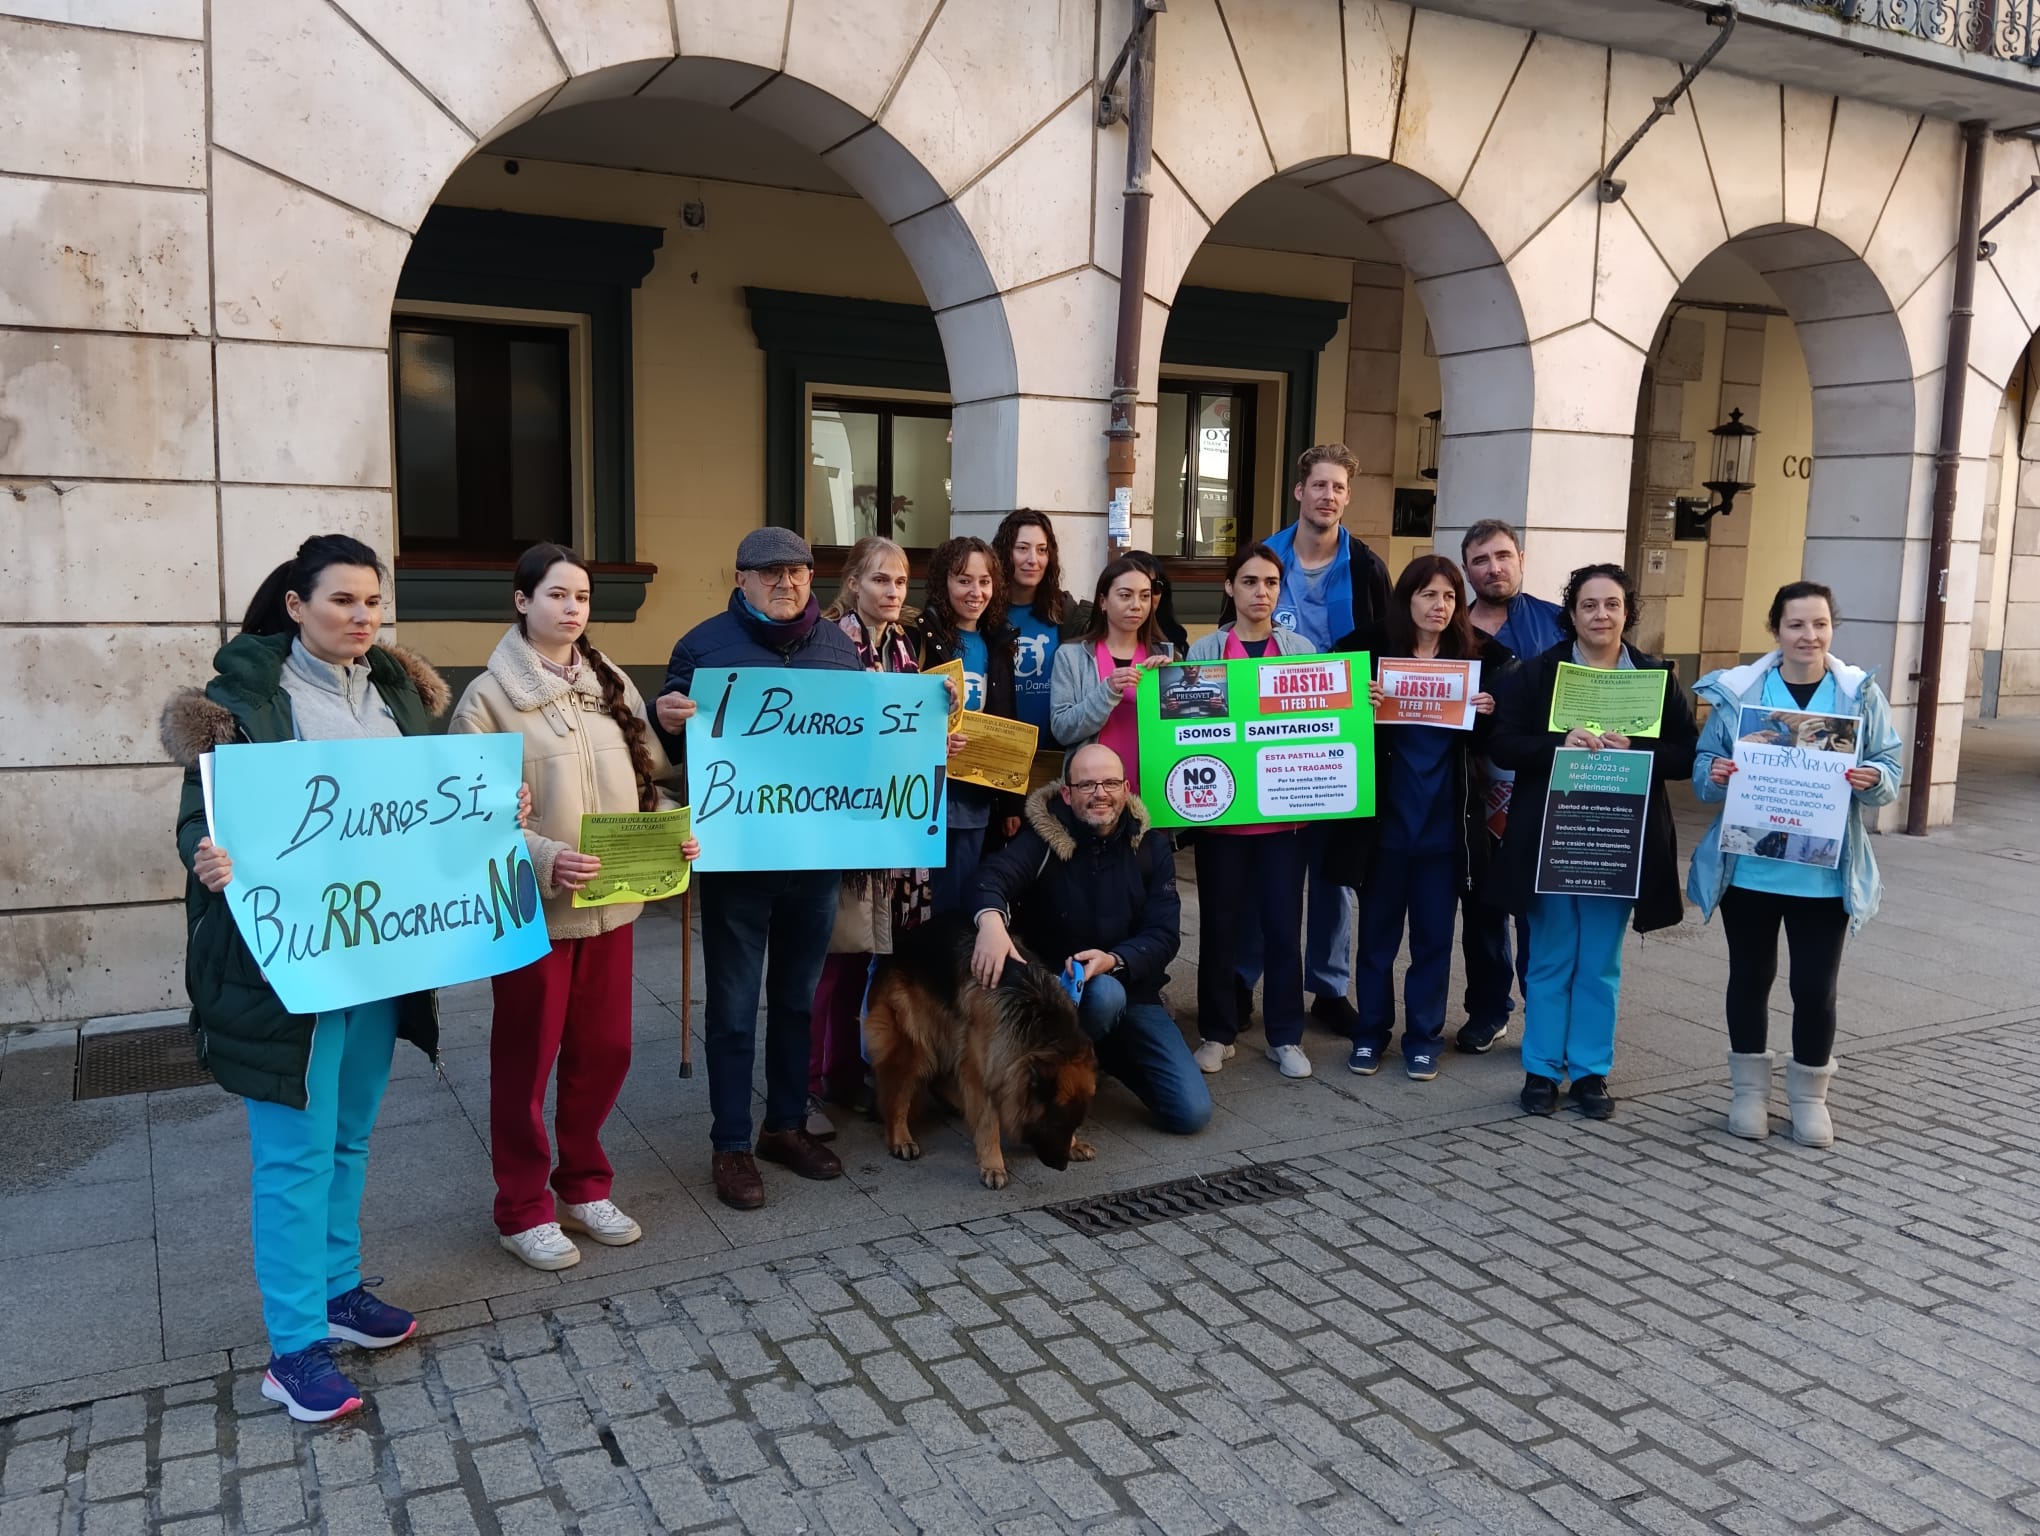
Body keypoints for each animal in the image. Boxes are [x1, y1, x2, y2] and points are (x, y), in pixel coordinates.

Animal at [864, 905, 1101, 1191]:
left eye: (1075, 1124)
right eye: (1055, 1123)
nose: (1061, 1166)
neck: (1034, 1012)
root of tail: (900, 943)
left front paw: (1075, 1144)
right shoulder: (983, 1066)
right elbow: (988, 1119)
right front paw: (993, 1165)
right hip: (915, 1044)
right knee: (895, 1092)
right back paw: (900, 1138)